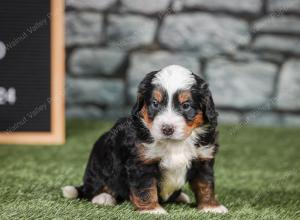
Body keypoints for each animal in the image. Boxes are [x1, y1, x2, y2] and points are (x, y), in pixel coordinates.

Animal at [62, 64, 227, 214]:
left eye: (186, 105)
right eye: (155, 103)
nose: (167, 129)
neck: (174, 144)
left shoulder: (203, 158)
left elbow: (205, 184)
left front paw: (211, 207)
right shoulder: (141, 162)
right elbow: (145, 188)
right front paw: (152, 210)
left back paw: (181, 197)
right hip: (100, 164)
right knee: (95, 187)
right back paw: (103, 197)